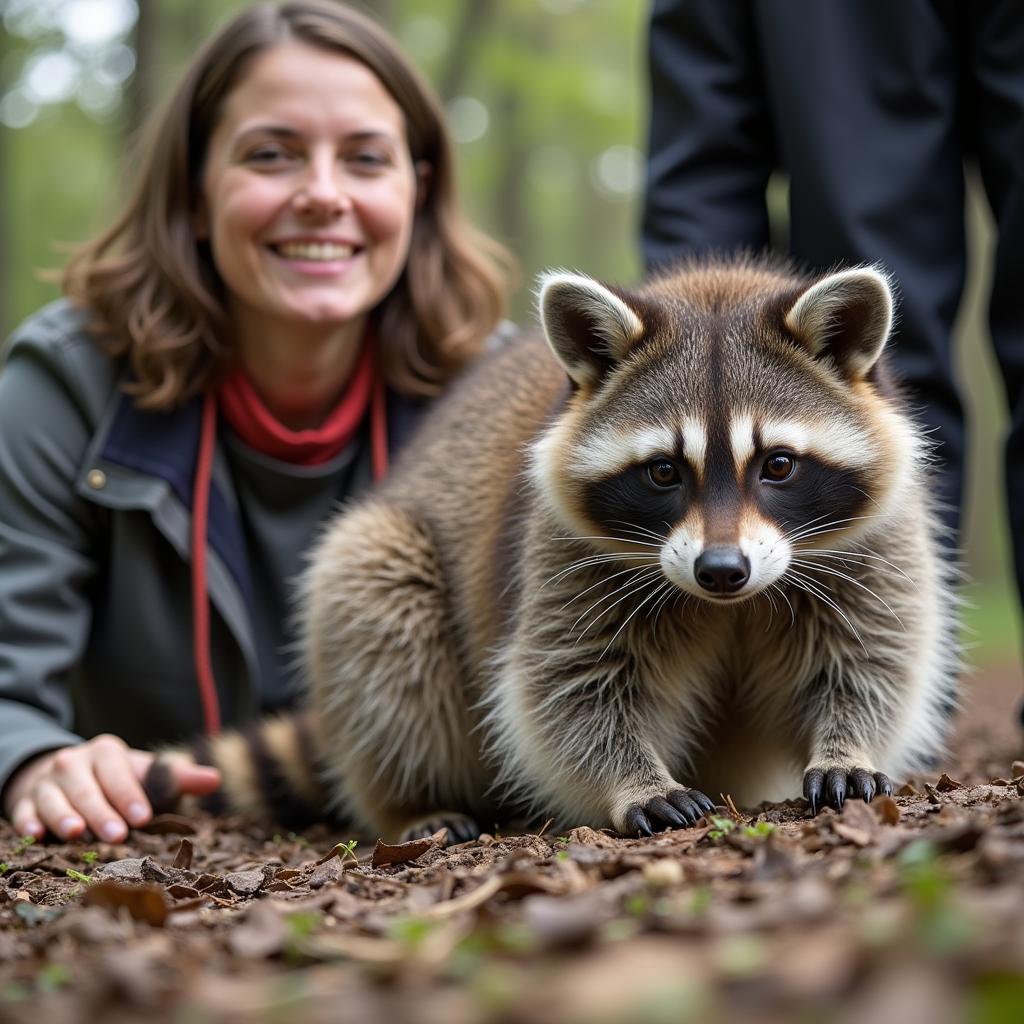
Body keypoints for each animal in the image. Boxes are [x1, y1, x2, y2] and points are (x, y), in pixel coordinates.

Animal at [151, 258, 958, 839]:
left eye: (779, 466)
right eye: (664, 472)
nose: (721, 571)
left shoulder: (875, 541)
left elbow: (871, 656)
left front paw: (847, 746)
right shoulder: (557, 552)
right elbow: (568, 688)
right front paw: (633, 782)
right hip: (386, 557)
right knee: (381, 623)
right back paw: (410, 802)